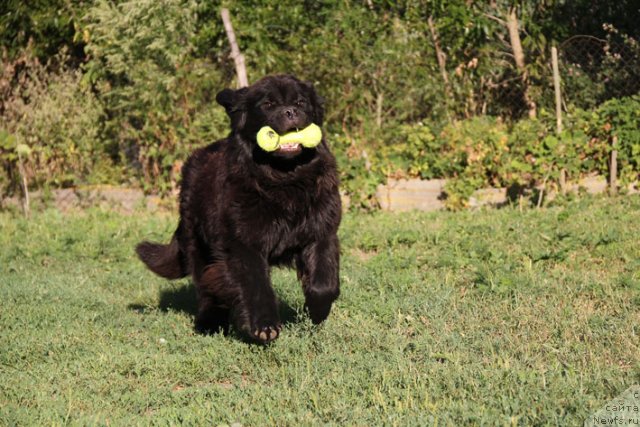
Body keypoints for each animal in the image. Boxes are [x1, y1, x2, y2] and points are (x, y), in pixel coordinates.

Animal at [136, 74, 340, 344]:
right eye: (268, 104)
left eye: (301, 102)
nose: (291, 111)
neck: (284, 180)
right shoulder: (243, 242)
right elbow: (255, 285)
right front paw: (264, 326)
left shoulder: (321, 230)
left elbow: (324, 281)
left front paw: (317, 311)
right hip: (199, 243)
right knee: (206, 283)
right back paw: (208, 323)